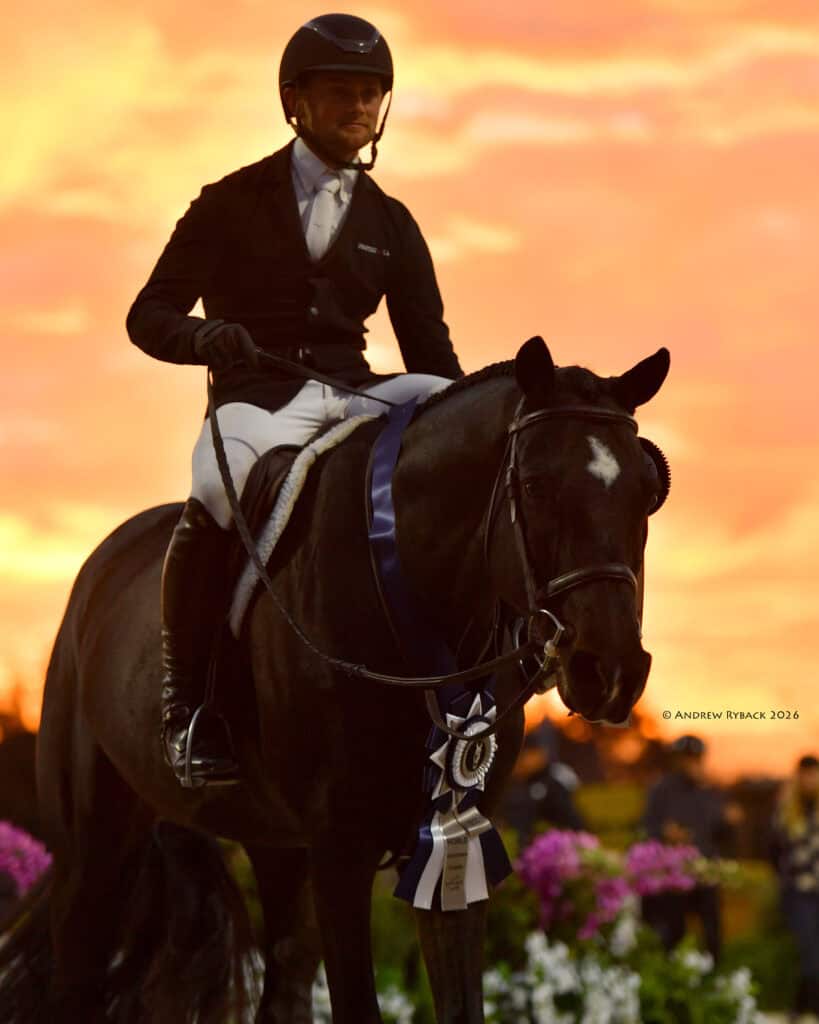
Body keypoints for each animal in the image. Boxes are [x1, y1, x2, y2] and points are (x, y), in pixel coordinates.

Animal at [0, 336, 669, 1023]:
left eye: (650, 491)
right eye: (534, 484)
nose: (610, 670)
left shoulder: (456, 838)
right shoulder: (340, 853)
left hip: (275, 849)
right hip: (93, 852)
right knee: (75, 979)